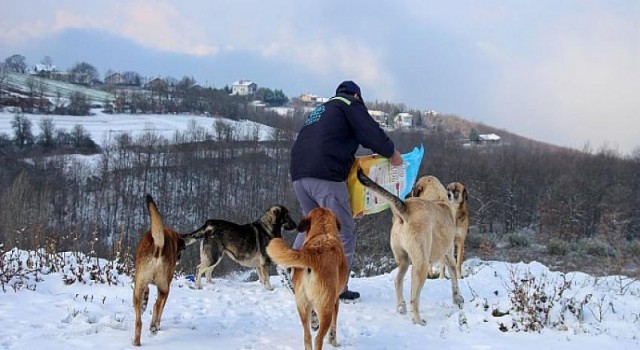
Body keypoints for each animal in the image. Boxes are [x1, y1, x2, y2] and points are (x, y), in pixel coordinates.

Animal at [132, 196, 185, 346]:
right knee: (157, 305)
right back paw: (154, 326)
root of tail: (158, 245)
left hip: (138, 286)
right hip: (164, 287)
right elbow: (160, 307)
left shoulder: (141, 280)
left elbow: (147, 291)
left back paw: (136, 342)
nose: (179, 258)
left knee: (138, 322)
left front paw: (144, 302)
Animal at [266, 208, 348, 350]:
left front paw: (314, 323)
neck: (323, 231)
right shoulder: (336, 301)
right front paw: (334, 342)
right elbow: (334, 326)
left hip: (302, 305)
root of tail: (313, 255)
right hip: (326, 307)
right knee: (318, 339)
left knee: (307, 336)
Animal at [356, 168, 464, 326]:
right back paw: (418, 320)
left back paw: (401, 306)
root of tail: (406, 209)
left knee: (398, 281)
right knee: (414, 298)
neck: (437, 198)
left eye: (412, 189)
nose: (406, 194)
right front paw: (458, 299)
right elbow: (455, 280)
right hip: (421, 264)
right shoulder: (449, 254)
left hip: (404, 261)